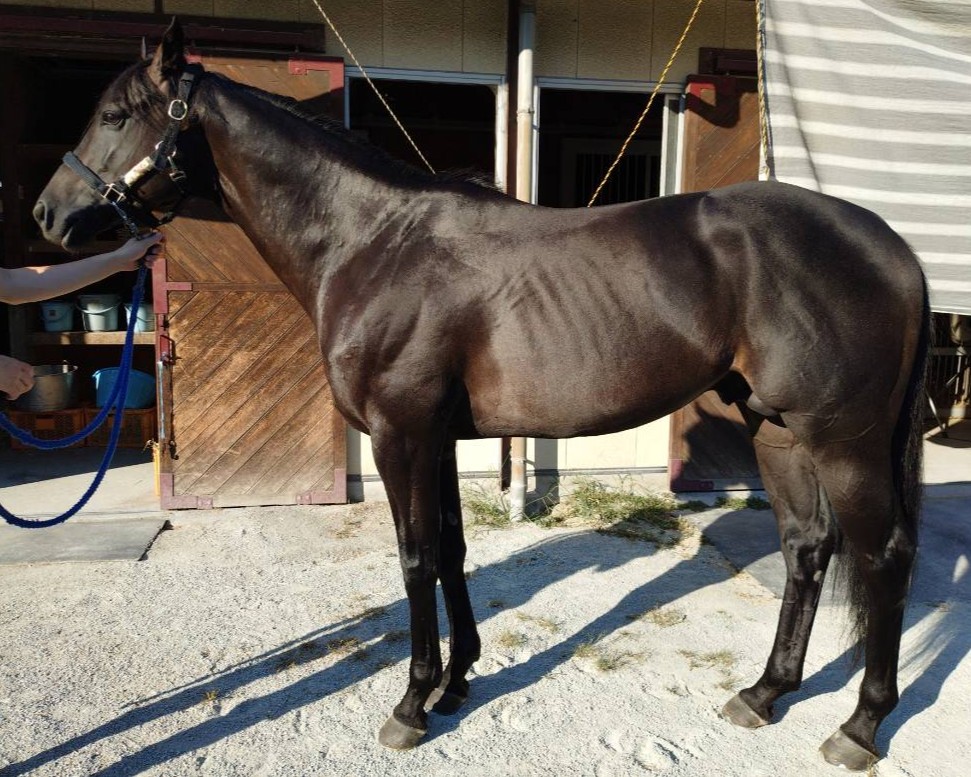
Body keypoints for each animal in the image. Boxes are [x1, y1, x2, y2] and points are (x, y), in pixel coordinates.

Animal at [33, 20, 929, 771]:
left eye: (115, 114)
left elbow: (414, 557)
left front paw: (409, 702)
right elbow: (453, 551)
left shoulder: (399, 434)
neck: (370, 243)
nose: (48, 214)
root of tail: (888, 244)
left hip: (842, 441)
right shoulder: (436, 438)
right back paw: (764, 691)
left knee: (882, 556)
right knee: (806, 547)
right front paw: (458, 679)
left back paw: (858, 725)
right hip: (775, 430)